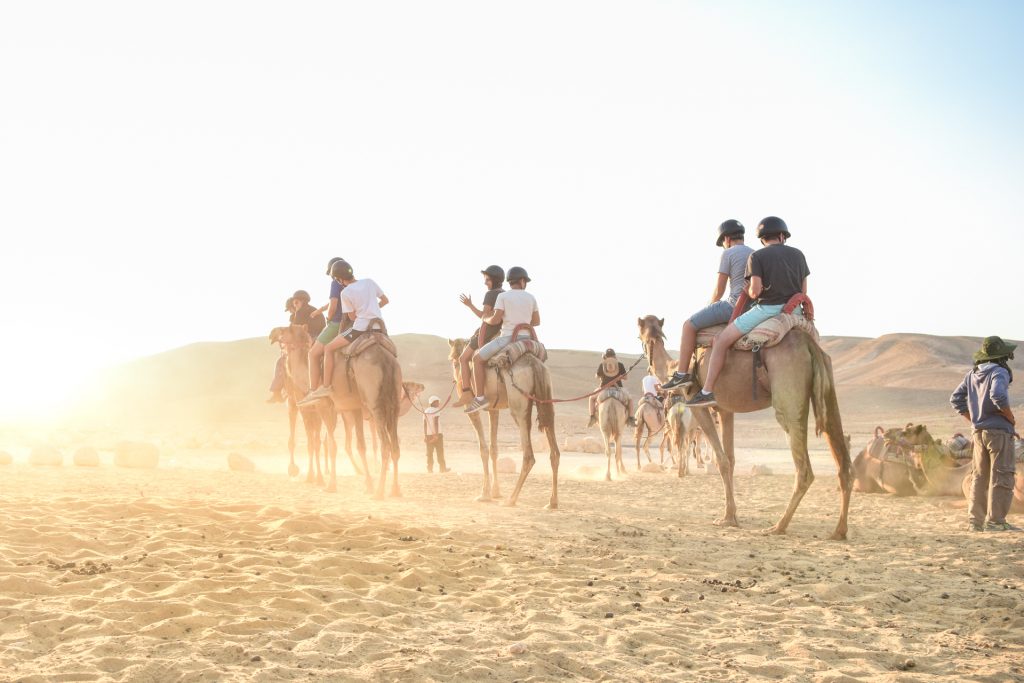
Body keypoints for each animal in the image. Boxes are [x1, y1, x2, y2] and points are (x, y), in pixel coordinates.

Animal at [268, 325, 323, 481]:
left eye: (284, 329)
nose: (271, 333)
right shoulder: (304, 408)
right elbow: (312, 442)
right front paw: (312, 475)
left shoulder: (315, 409)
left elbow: (314, 442)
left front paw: (315, 476)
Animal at [448, 335, 561, 507]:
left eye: (455, 359)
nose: (455, 369)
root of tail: (535, 365)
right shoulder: (494, 409)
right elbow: (494, 449)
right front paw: (496, 492)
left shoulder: (470, 408)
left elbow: (483, 449)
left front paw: (484, 494)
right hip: (546, 398)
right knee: (554, 450)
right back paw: (552, 502)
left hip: (518, 406)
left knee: (528, 455)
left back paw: (512, 498)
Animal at [634, 313, 851, 540]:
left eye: (638, 332)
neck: (673, 367)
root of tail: (809, 344)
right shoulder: (725, 410)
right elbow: (730, 459)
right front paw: (730, 517)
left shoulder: (698, 404)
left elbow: (721, 460)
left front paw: (727, 518)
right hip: (826, 388)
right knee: (842, 459)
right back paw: (839, 530)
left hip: (788, 394)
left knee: (804, 468)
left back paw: (778, 526)